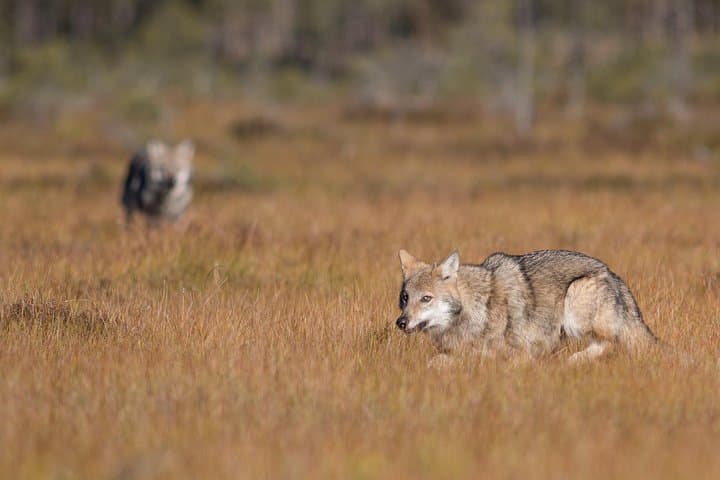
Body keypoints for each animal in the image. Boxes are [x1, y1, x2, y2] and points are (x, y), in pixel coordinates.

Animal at [395, 249, 656, 364]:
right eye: (405, 298)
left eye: (426, 298)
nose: (401, 322)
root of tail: (613, 275)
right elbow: (436, 361)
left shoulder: (518, 353)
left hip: (574, 299)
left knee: (610, 343)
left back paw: (571, 362)